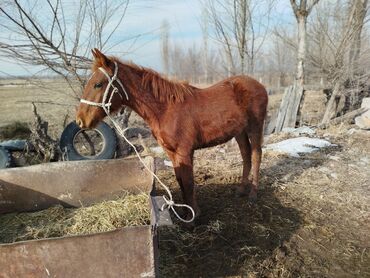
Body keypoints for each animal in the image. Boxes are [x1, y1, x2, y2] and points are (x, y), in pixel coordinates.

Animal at [76, 48, 268, 218]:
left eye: (98, 84)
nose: (80, 120)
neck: (165, 109)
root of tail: (258, 84)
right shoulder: (171, 152)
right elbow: (180, 180)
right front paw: (185, 212)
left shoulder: (184, 151)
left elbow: (188, 182)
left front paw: (193, 217)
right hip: (240, 131)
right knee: (246, 155)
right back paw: (241, 190)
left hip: (255, 127)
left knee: (256, 154)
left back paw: (253, 194)